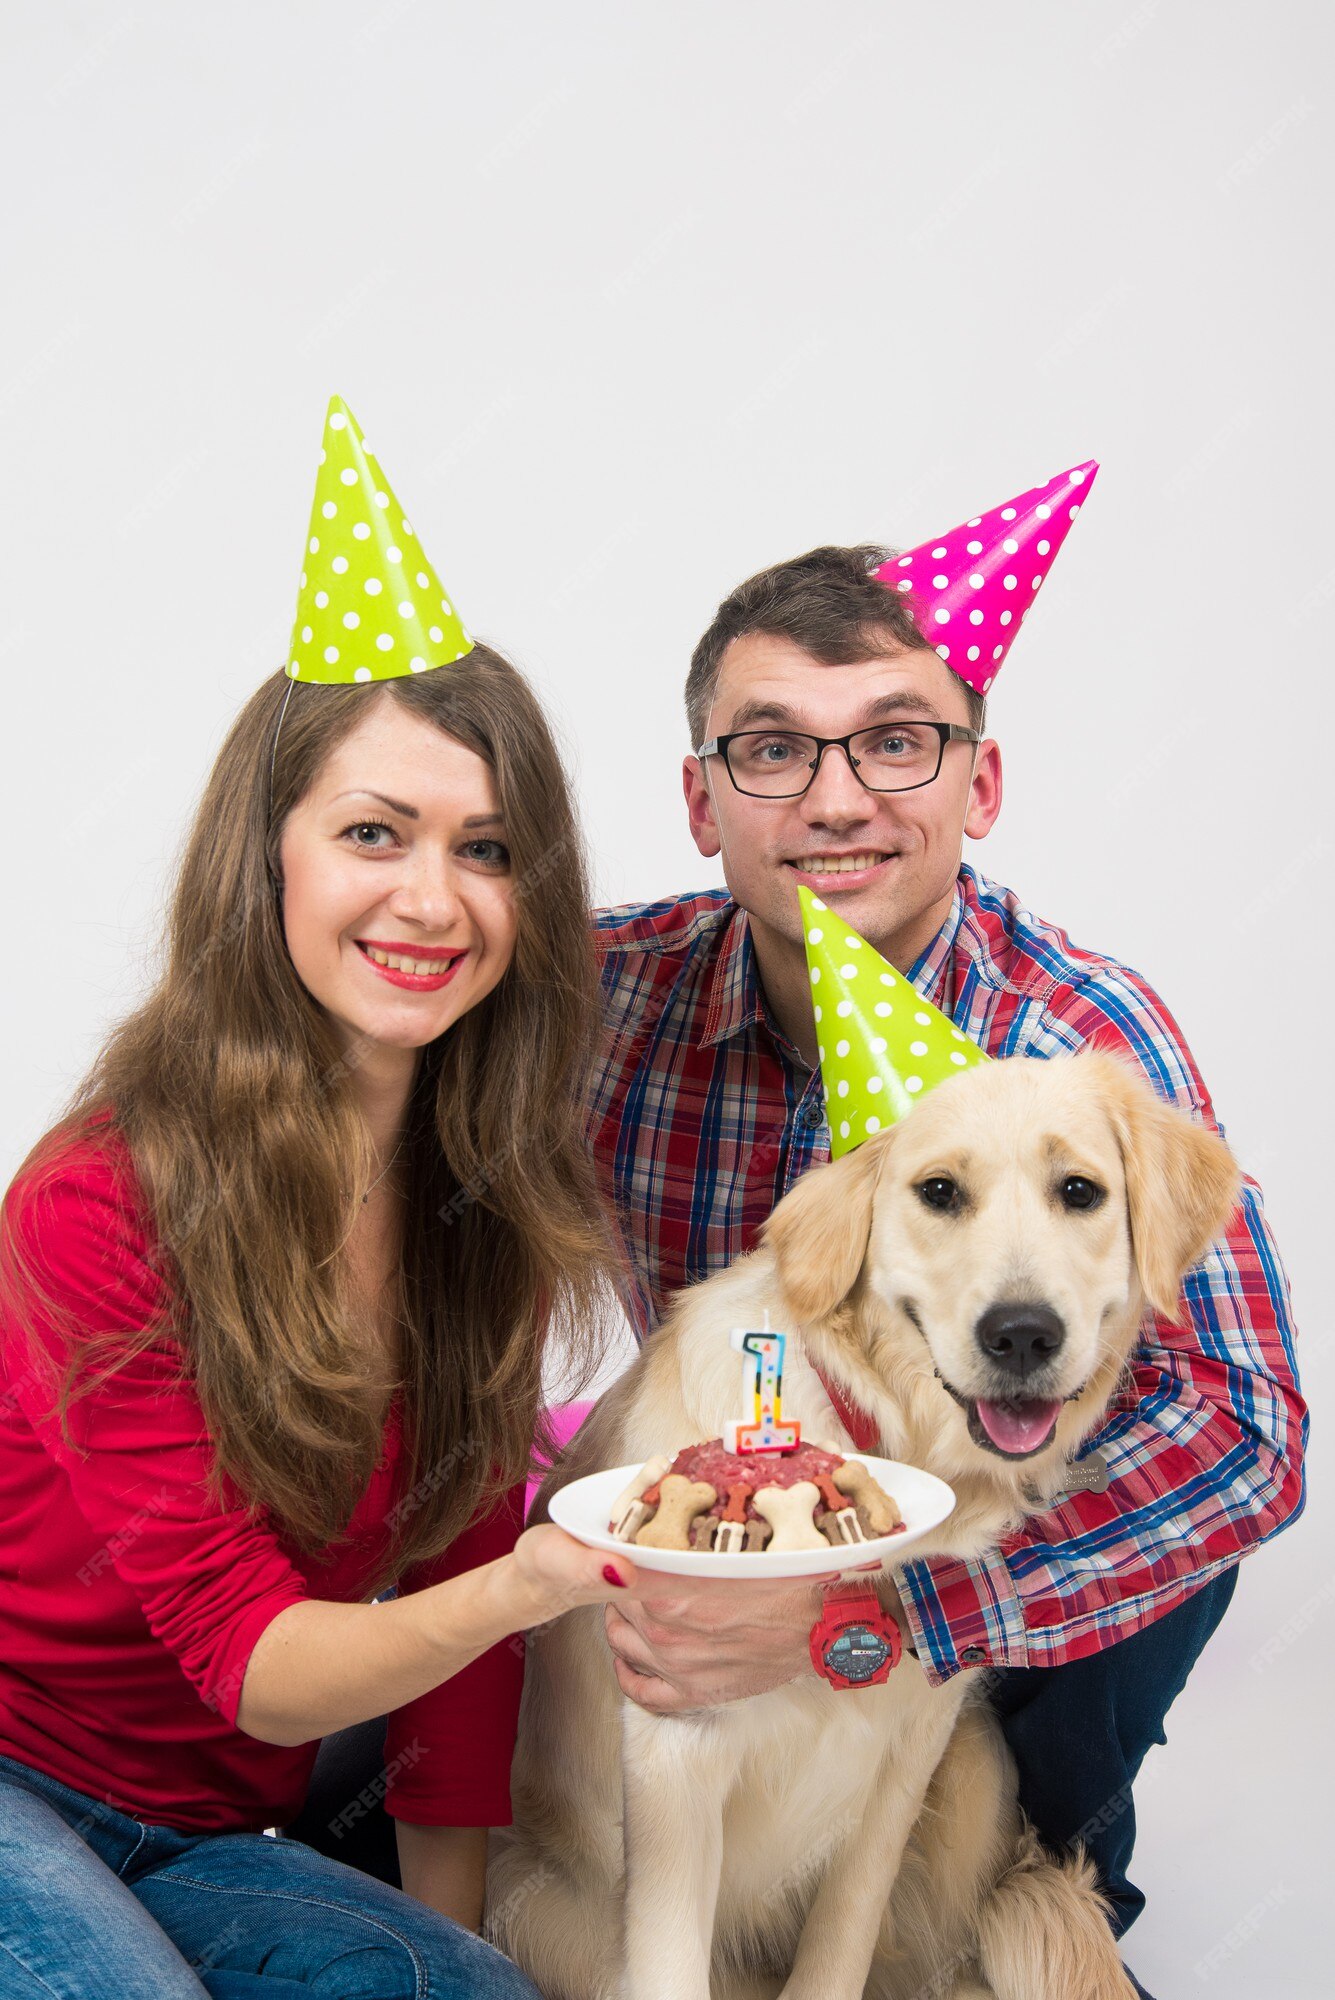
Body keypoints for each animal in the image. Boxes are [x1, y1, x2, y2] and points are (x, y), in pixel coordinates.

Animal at [487, 1056, 1239, 1992]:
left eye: (1079, 1191)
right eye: (938, 1191)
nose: (1022, 1335)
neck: (892, 1442)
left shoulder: (908, 1754)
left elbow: (841, 1936)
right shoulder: (673, 1754)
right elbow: (669, 1964)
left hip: (976, 1776)